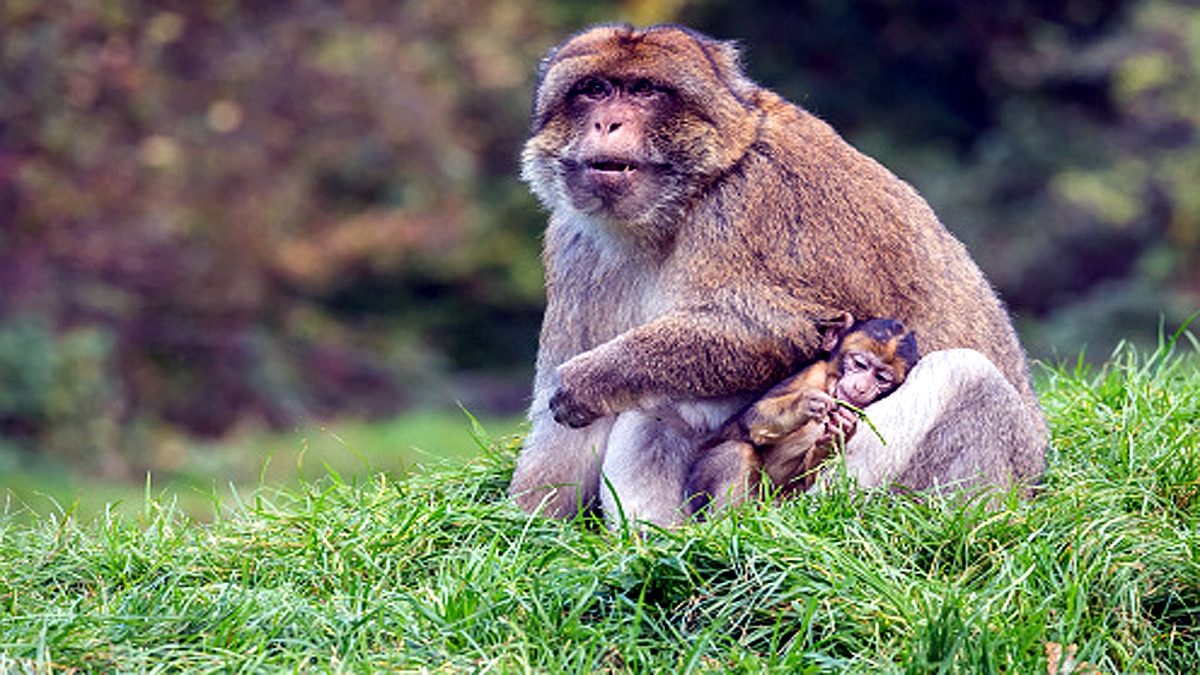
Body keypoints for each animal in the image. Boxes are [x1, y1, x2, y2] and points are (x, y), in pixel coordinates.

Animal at [686, 314, 919, 516]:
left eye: (881, 378)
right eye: (860, 364)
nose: (861, 387)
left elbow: (807, 479)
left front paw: (835, 436)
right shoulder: (813, 375)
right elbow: (752, 419)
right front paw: (801, 406)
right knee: (737, 451)